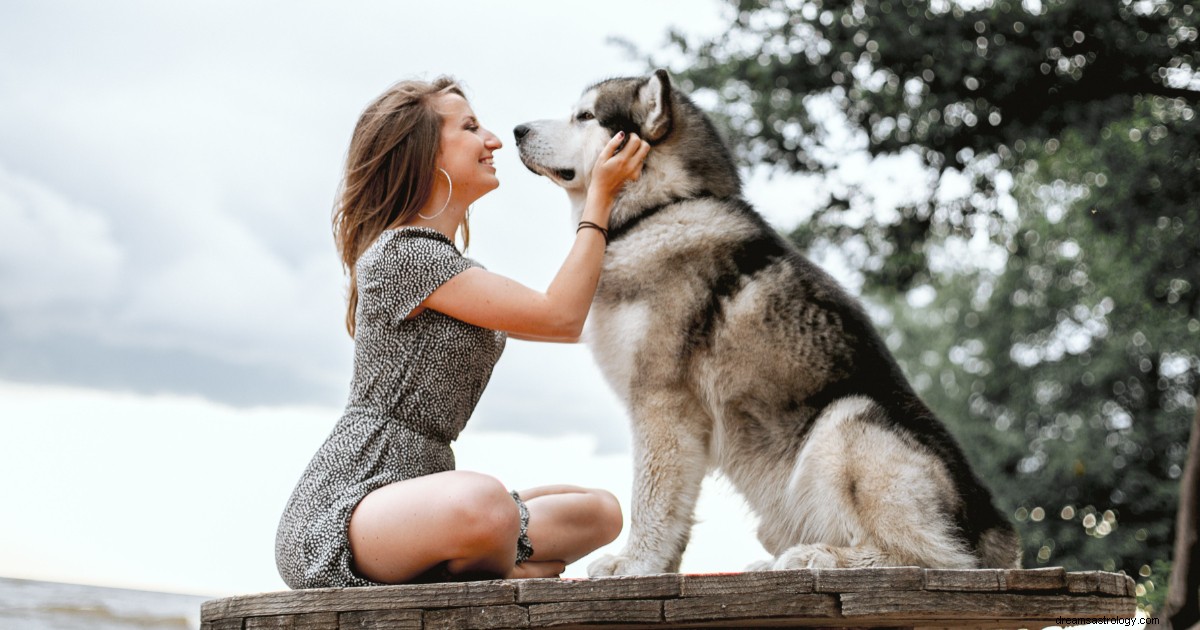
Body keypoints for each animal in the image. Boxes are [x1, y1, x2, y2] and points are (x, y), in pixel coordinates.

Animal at [511, 68, 1017, 573]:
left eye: (584, 116)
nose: (517, 130)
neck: (662, 209)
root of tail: (998, 532)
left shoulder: (662, 403)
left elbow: (650, 500)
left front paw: (637, 564)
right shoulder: (681, 424)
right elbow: (676, 508)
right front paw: (660, 566)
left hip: (847, 419)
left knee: (934, 558)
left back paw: (820, 556)